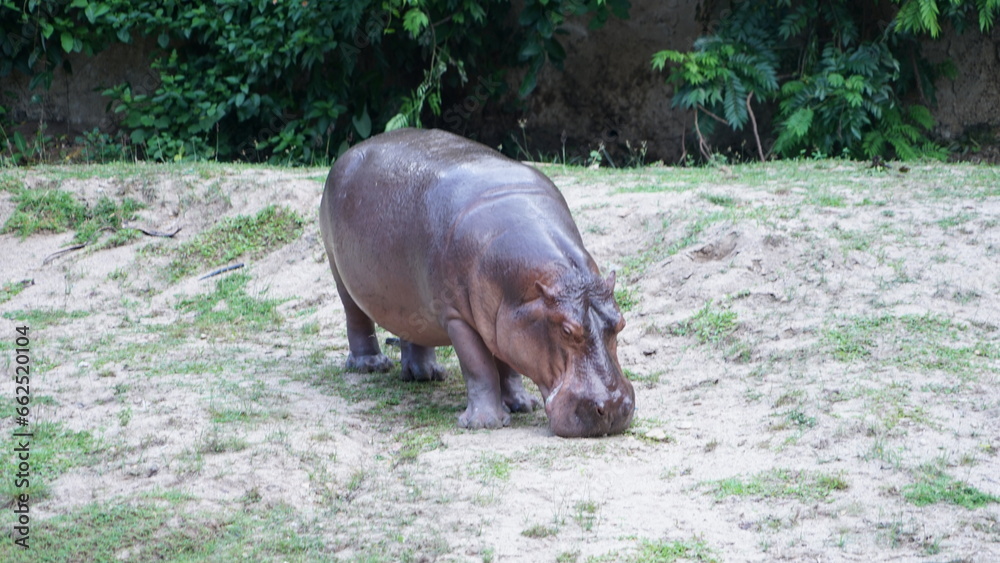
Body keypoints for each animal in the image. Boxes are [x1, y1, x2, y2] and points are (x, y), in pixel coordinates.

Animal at [318, 128, 634, 437]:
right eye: (567, 330)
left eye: (620, 323)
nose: (614, 407)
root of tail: (350, 152)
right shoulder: (459, 318)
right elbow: (479, 367)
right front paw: (486, 423)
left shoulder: (502, 319)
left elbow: (508, 365)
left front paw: (522, 404)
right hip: (338, 268)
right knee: (356, 318)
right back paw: (370, 365)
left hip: (409, 295)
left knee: (413, 326)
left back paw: (426, 373)